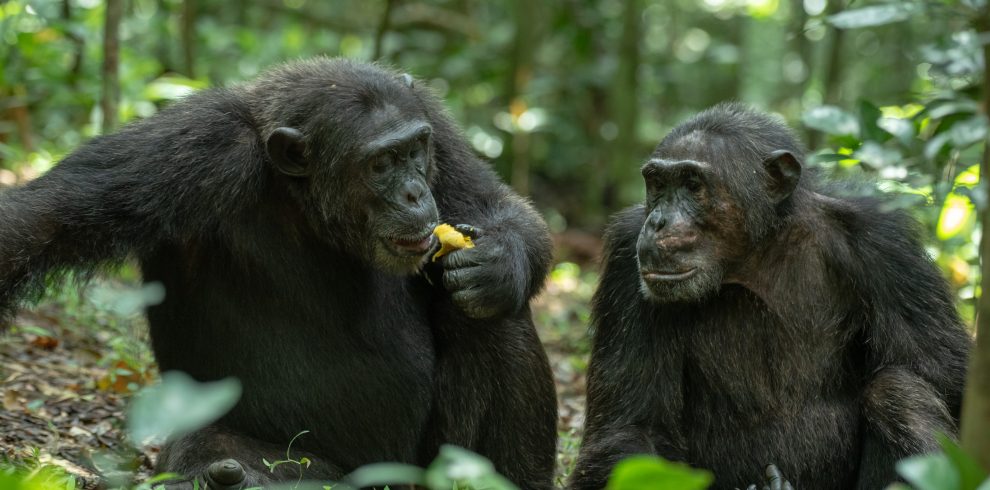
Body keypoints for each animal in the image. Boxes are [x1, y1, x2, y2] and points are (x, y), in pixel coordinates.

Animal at [0, 58, 560, 490]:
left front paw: (496, 263)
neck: (301, 199)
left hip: (425, 465)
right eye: (381, 164)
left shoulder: (436, 124)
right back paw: (229, 476)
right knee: (210, 447)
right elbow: (47, 219)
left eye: (414, 151)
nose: (415, 193)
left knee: (490, 316)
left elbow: (498, 206)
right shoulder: (185, 147)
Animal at [568, 102, 972, 490]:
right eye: (657, 183)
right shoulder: (625, 259)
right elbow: (632, 430)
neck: (754, 253)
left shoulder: (887, 246)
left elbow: (948, 375)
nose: (658, 222)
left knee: (896, 391)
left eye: (692, 184)